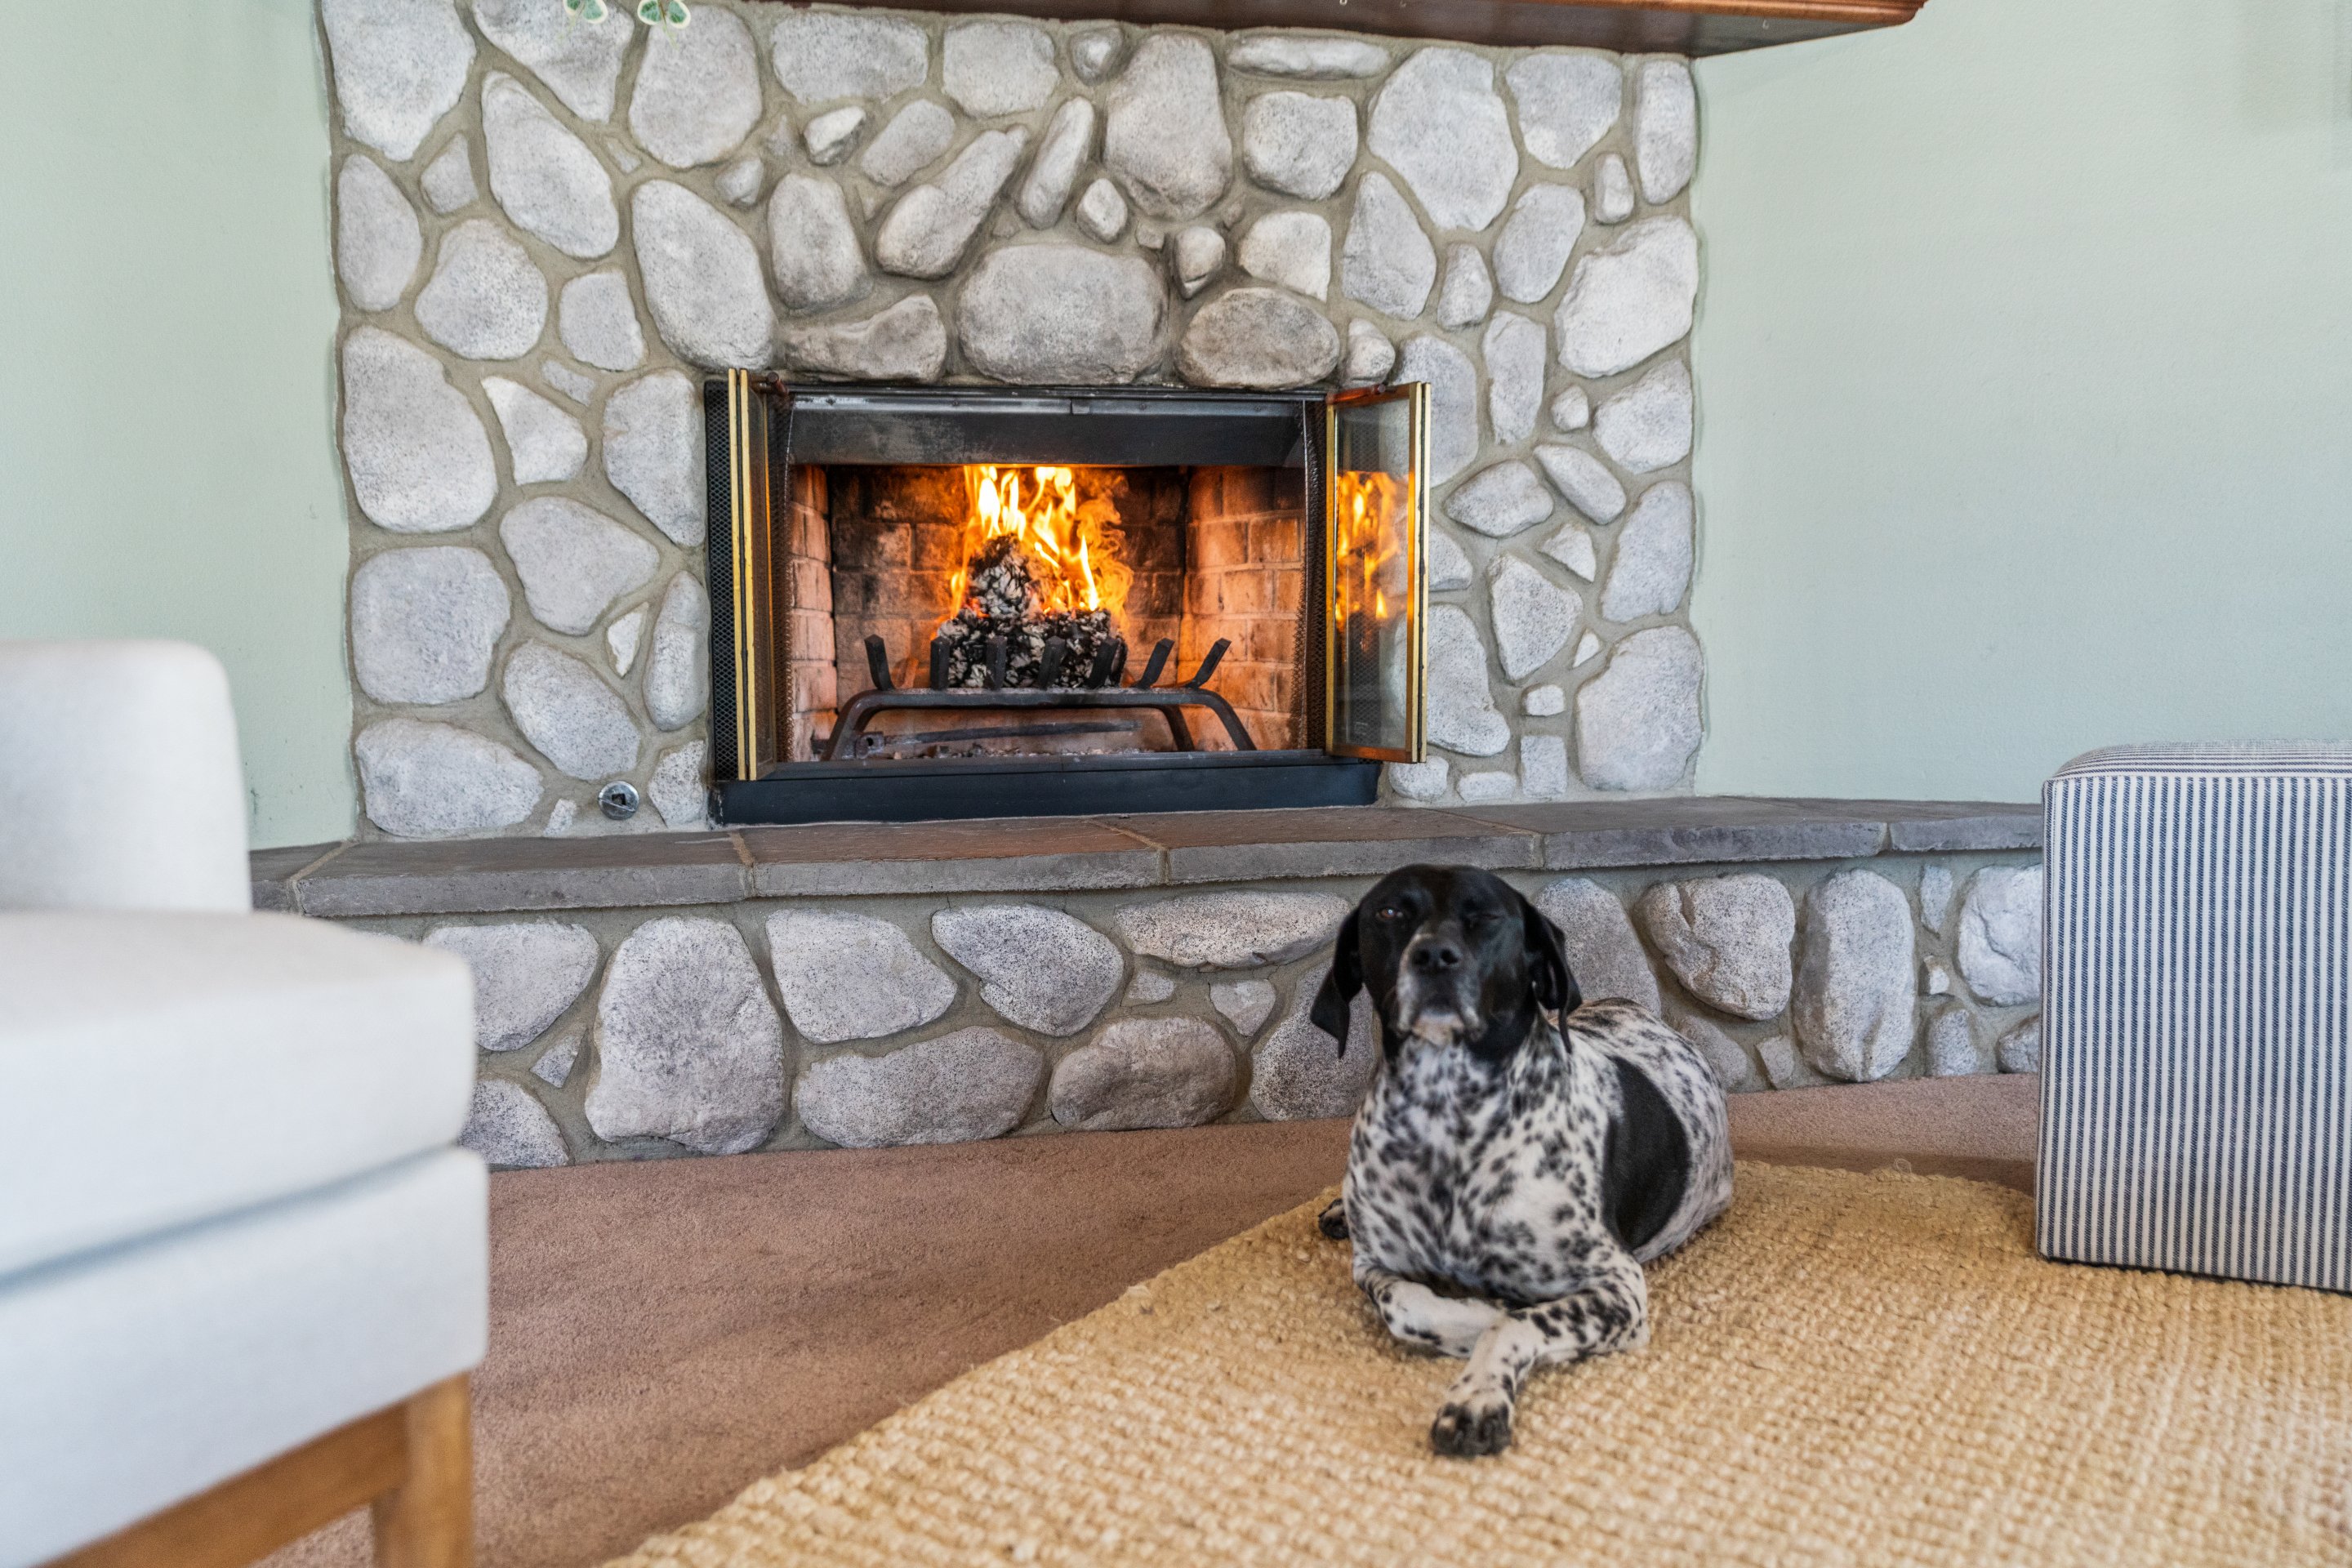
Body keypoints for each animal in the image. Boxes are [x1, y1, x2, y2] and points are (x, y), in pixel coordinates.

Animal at [1310, 864, 1733, 1458]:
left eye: (1486, 916)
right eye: (1389, 913)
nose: (1434, 956)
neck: (1447, 1120)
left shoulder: (1618, 1286)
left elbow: (1516, 1325)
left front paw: (1477, 1393)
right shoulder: (1373, 1266)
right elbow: (1404, 1307)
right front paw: (1475, 1314)